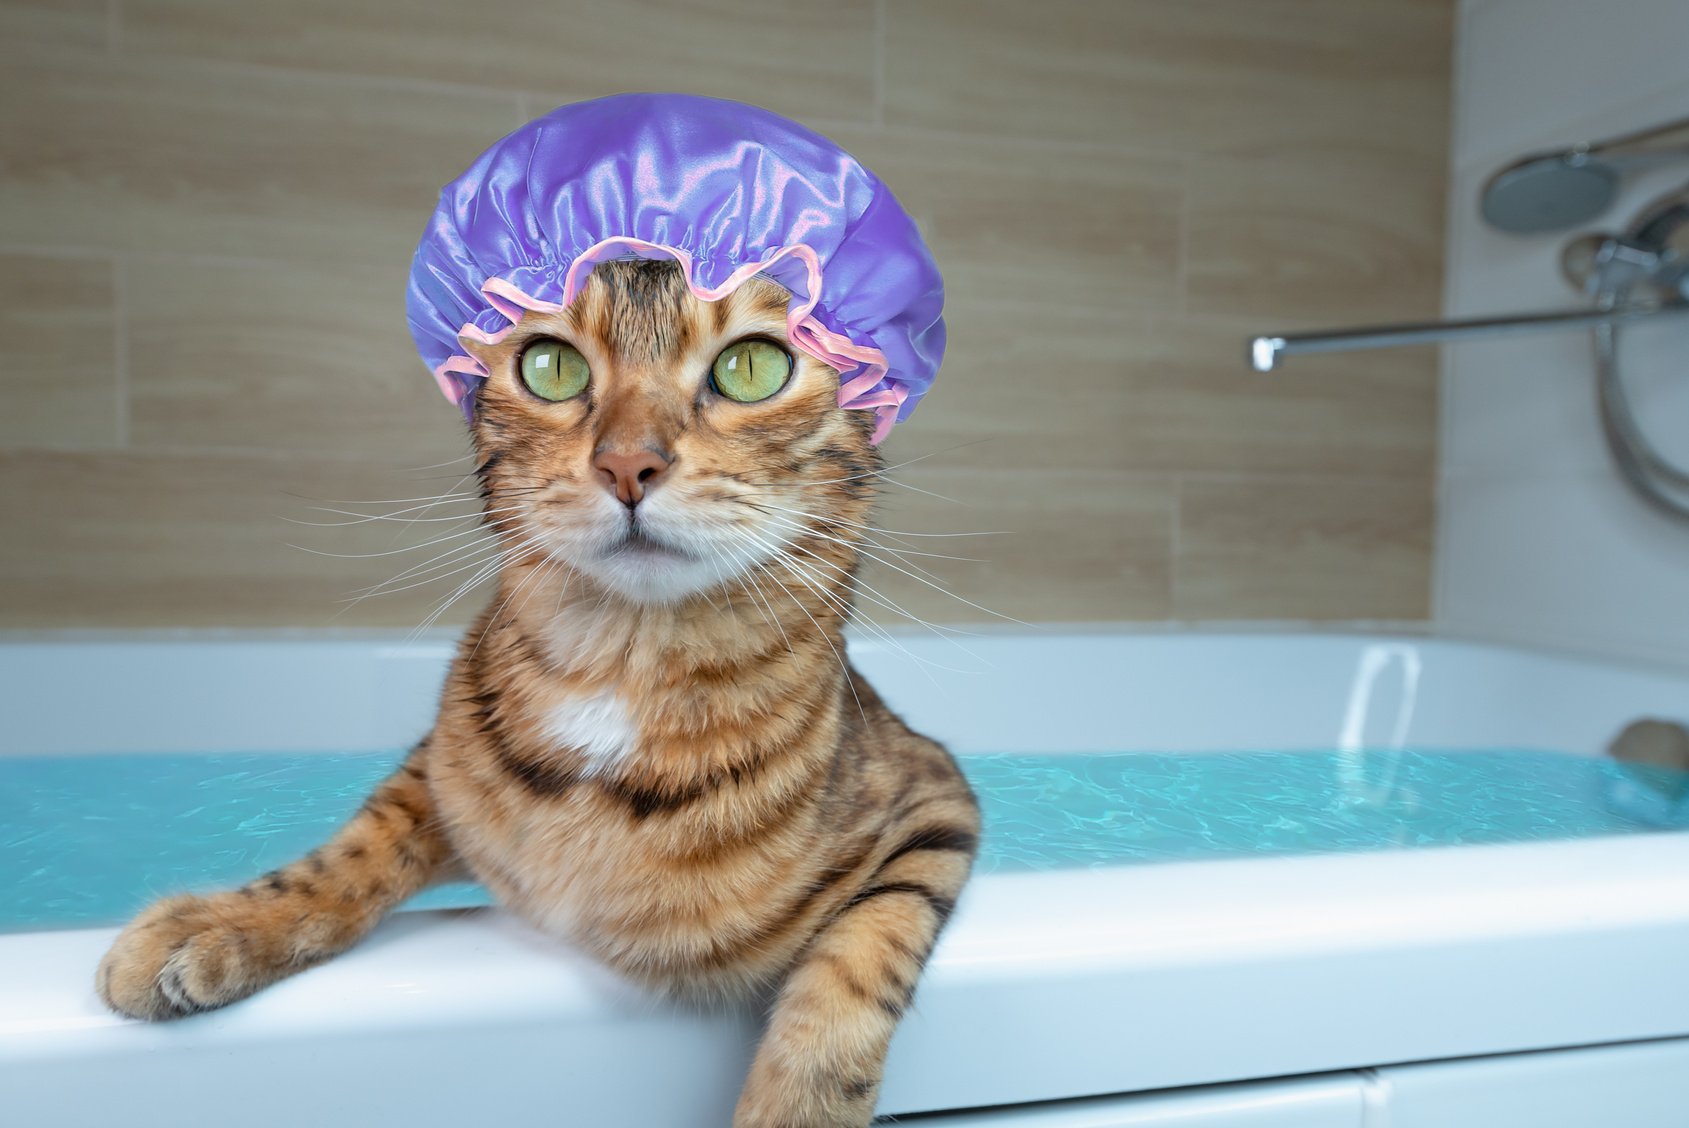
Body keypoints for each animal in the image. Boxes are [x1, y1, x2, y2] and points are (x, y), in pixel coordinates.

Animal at [92, 258, 986, 1128]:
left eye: (753, 365)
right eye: (552, 367)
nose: (627, 464)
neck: (620, 674)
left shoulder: (934, 802)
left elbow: (857, 967)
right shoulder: (442, 766)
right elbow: (353, 850)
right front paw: (222, 923)